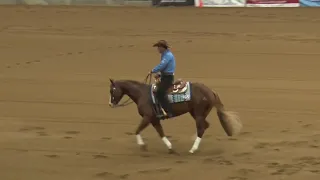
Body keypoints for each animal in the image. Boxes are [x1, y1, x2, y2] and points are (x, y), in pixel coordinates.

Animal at [108, 75, 242, 154]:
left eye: (112, 90)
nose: (110, 104)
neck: (142, 94)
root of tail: (211, 91)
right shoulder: (154, 119)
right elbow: (160, 132)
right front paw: (170, 147)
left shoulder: (147, 117)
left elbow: (137, 130)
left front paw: (142, 146)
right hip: (196, 113)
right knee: (204, 126)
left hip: (198, 113)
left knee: (201, 128)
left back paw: (193, 149)